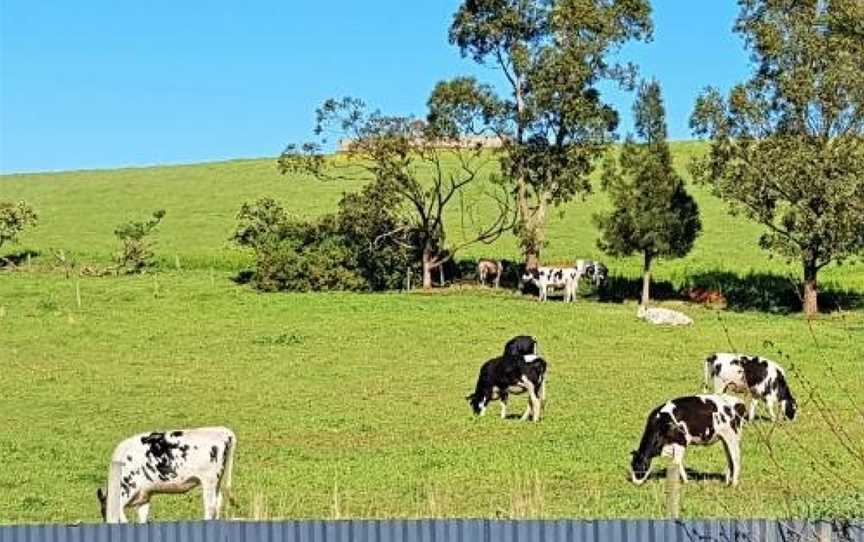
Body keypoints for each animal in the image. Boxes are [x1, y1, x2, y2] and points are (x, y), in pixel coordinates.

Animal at [97, 428, 236, 524]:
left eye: (103, 511)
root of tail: (223, 431)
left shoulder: (126, 490)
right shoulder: (144, 495)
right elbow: (142, 517)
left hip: (209, 481)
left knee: (210, 507)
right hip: (216, 482)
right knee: (218, 503)